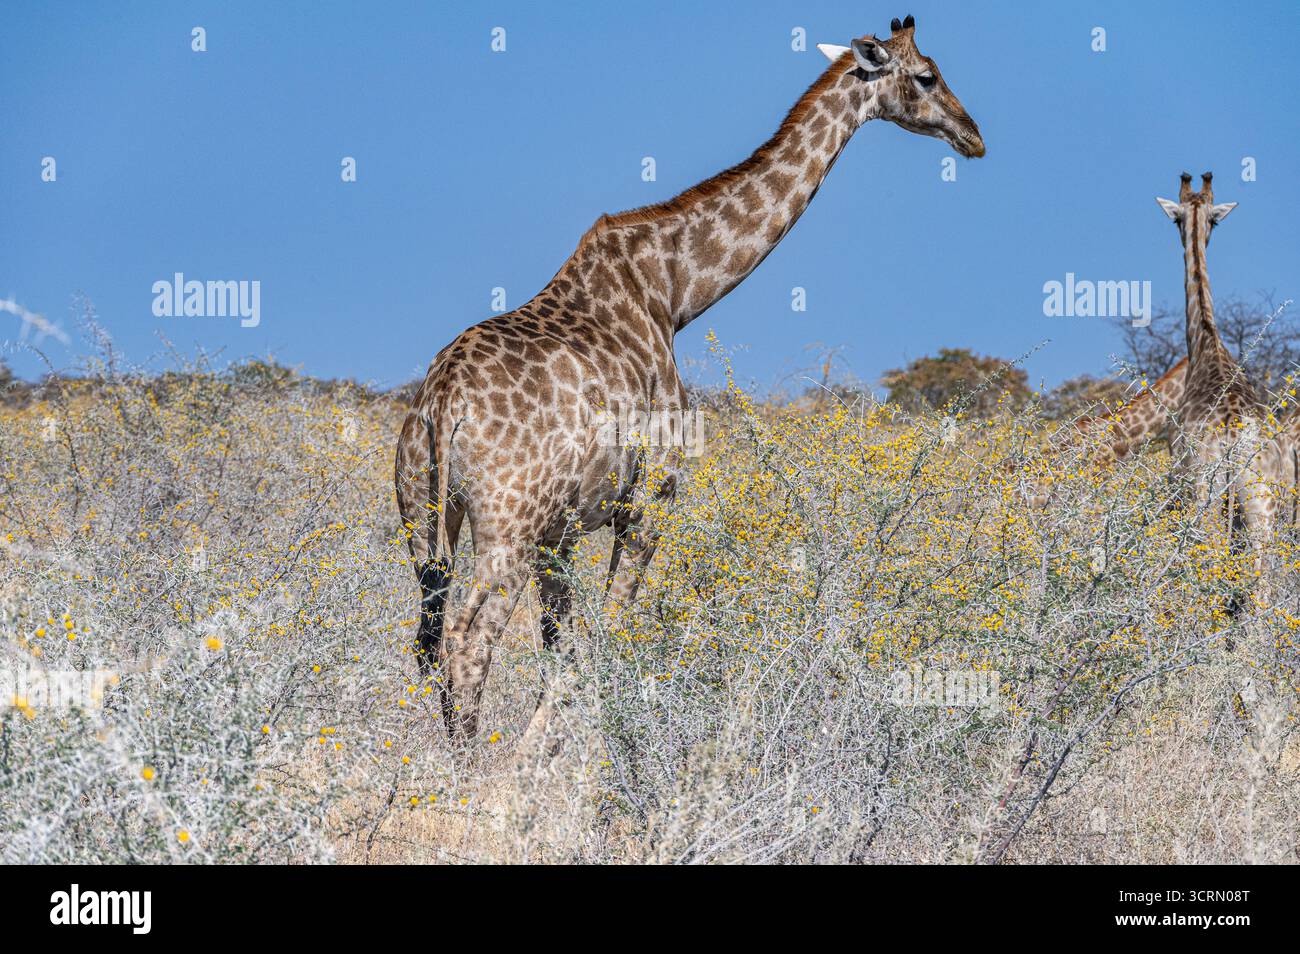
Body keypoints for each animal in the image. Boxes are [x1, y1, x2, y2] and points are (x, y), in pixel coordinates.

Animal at [394, 15, 985, 745]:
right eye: (928, 76)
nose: (973, 135)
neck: (675, 292)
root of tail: (444, 402)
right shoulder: (650, 500)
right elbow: (606, 640)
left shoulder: (563, 532)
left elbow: (562, 648)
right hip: (506, 524)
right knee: (468, 640)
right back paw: (476, 765)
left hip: (425, 520)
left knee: (433, 639)